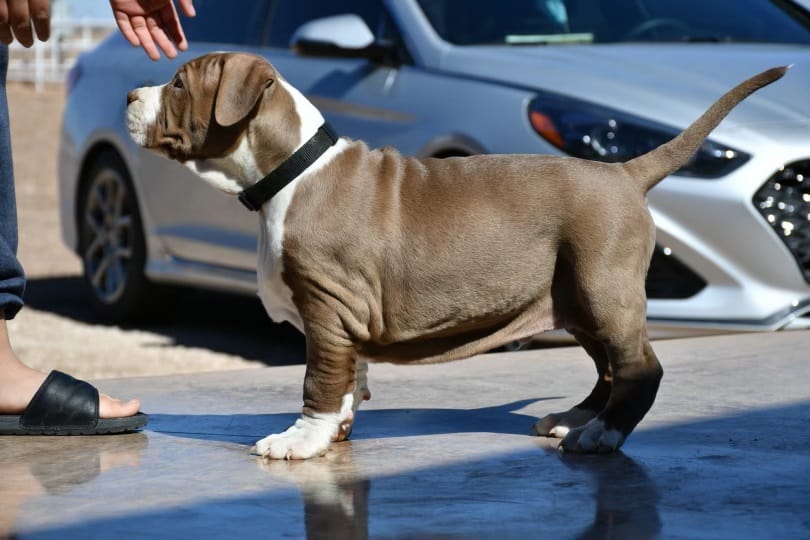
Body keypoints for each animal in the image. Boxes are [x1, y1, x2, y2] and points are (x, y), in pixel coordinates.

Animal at [124, 52, 784, 460]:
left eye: (178, 84)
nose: (130, 93)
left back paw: (601, 437)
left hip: (604, 288)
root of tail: (625, 172)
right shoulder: (343, 316)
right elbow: (348, 379)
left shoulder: (328, 306)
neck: (291, 168)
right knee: (609, 368)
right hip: (577, 296)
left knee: (640, 369)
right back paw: (577, 419)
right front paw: (336, 430)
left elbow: (319, 379)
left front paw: (300, 441)